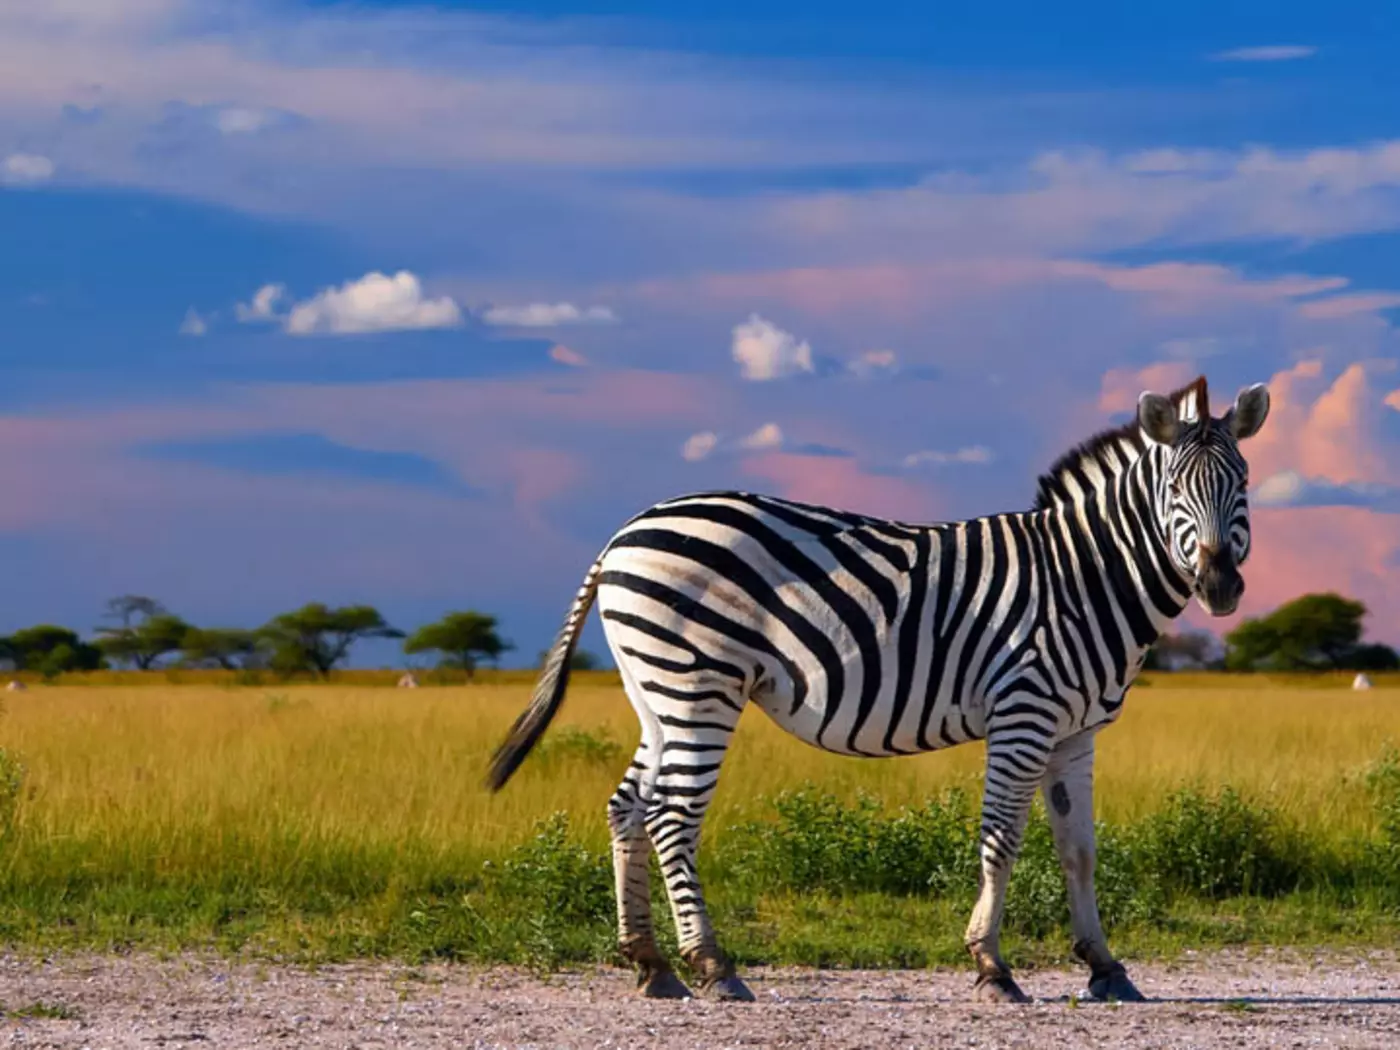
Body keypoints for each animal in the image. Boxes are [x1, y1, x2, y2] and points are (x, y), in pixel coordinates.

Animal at [486, 374, 1270, 1004]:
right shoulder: (1023, 715)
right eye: (1174, 492)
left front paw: (1105, 967)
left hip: (657, 694)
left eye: (1243, 485)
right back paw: (713, 966)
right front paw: (992, 966)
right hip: (698, 687)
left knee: (627, 807)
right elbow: (1002, 839)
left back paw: (650, 964)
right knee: (673, 816)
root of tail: (623, 534)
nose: (1221, 586)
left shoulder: (1074, 733)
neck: (1084, 576)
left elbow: (1079, 849)